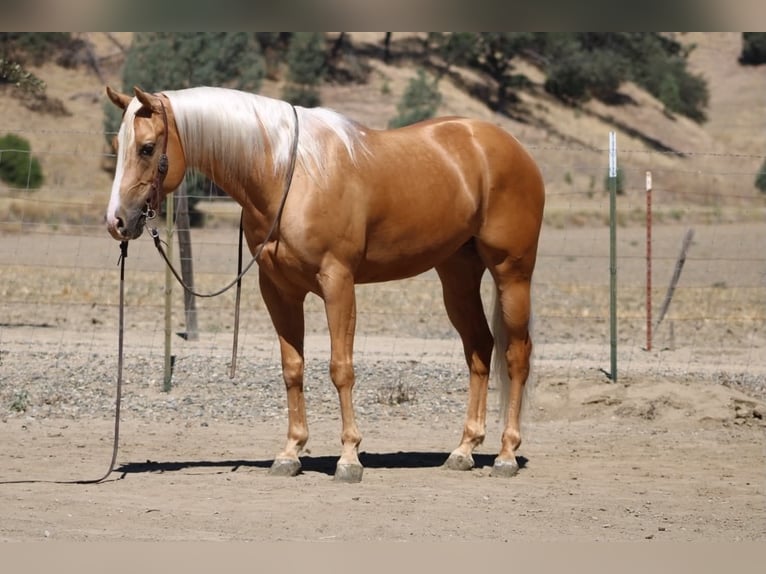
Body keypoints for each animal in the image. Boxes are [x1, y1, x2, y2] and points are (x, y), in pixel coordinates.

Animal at [104, 85, 545, 482]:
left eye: (147, 148)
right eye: (117, 144)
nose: (117, 222)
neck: (287, 175)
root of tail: (513, 149)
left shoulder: (339, 283)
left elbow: (341, 368)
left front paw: (349, 458)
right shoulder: (279, 290)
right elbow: (292, 368)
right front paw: (290, 453)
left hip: (512, 272)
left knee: (516, 354)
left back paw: (506, 454)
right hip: (457, 275)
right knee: (480, 348)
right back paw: (464, 450)